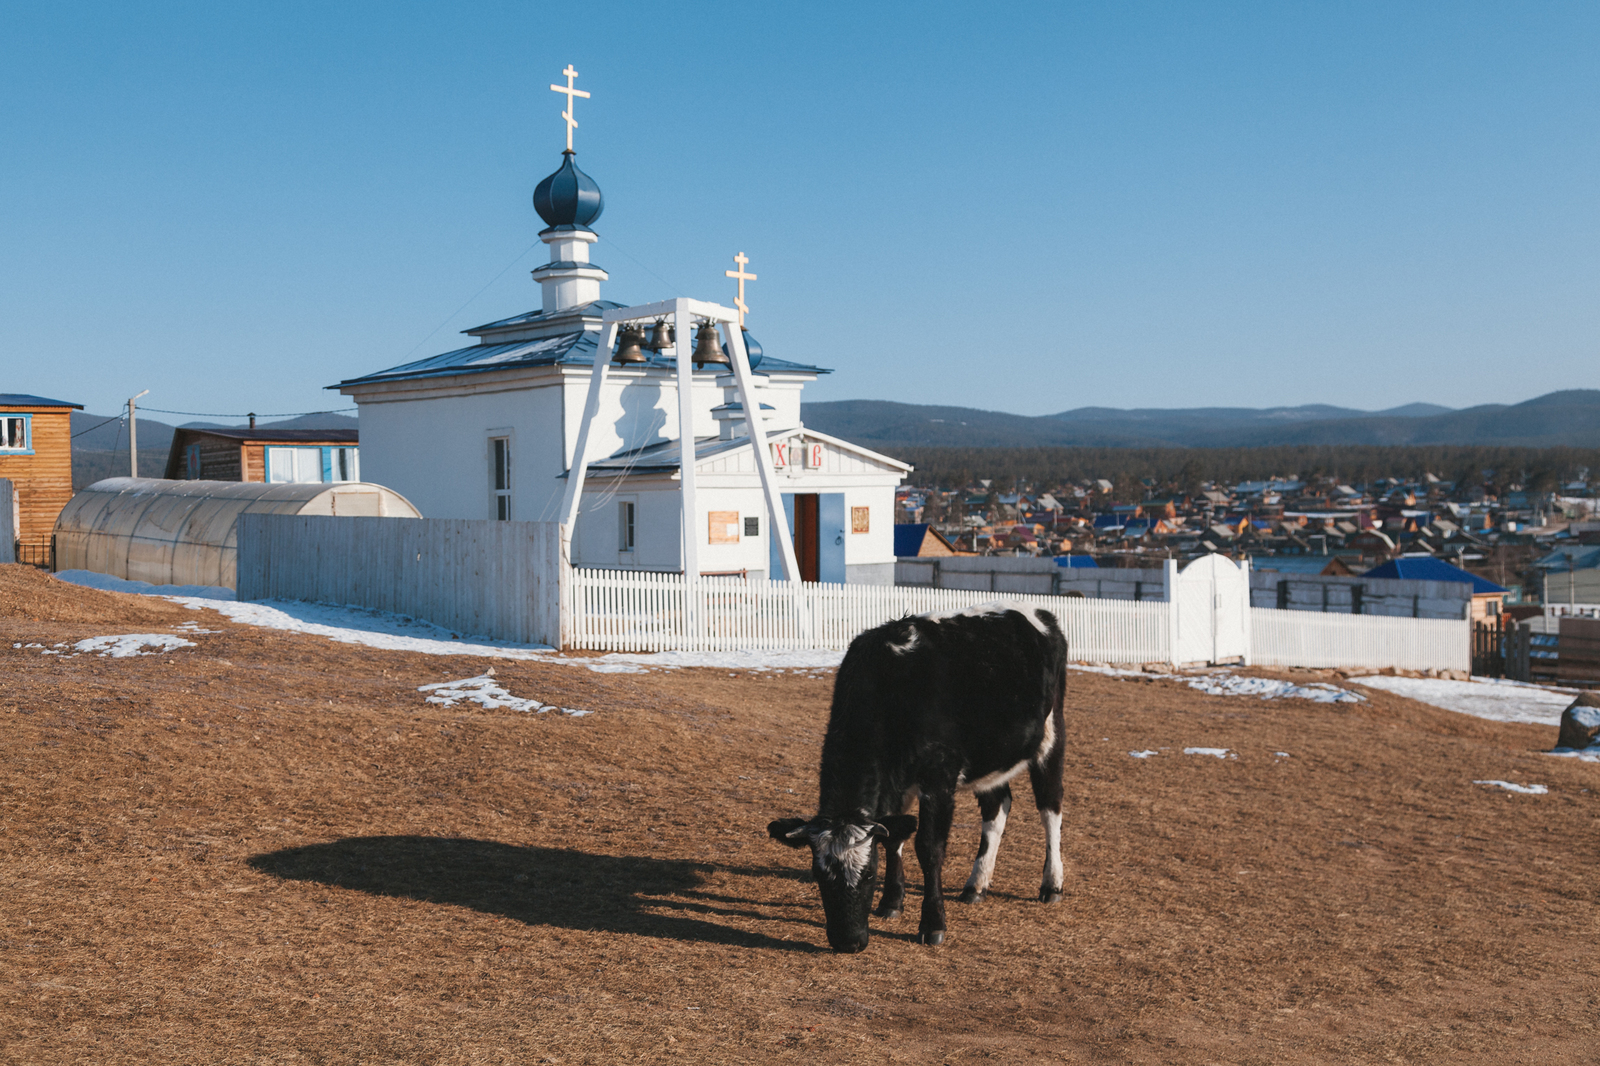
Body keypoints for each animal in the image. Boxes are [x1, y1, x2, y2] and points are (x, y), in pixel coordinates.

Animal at [768, 601, 1068, 947]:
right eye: (819, 874)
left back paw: (1051, 884)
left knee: (1050, 809)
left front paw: (933, 923)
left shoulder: (938, 777)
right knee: (997, 808)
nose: (848, 941)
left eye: (868, 873)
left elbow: (928, 847)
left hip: (1051, 737)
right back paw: (976, 884)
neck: (889, 685)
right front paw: (891, 902)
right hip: (991, 756)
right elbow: (893, 837)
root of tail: (1040, 613)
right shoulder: (893, 785)